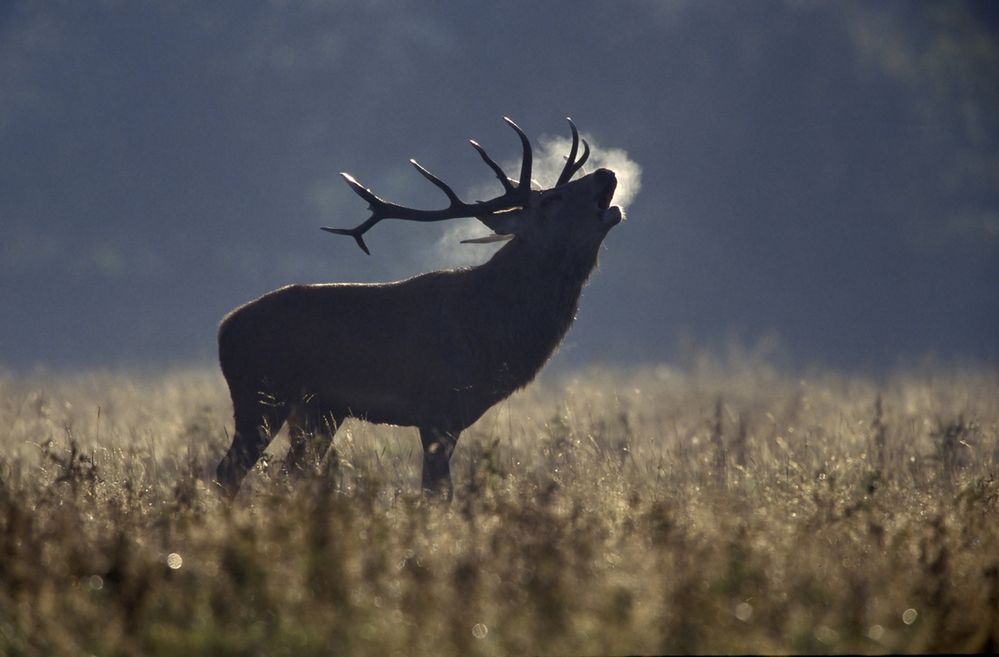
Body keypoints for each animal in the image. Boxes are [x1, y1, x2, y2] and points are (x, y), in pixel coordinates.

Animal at [216, 116, 620, 498]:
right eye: (551, 200)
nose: (606, 172)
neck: (491, 332)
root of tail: (224, 328)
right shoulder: (437, 408)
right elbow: (436, 493)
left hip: (319, 411)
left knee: (290, 473)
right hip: (260, 394)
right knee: (228, 471)